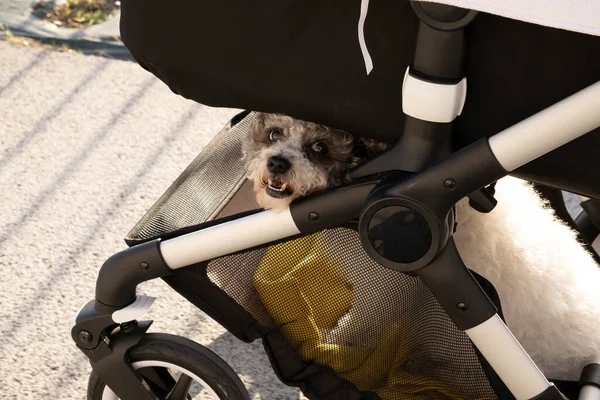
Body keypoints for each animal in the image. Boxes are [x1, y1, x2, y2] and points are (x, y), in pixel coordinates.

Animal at [241, 111, 596, 382]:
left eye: (320, 147)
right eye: (274, 133)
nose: (277, 163)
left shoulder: (385, 291)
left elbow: (354, 327)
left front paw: (328, 346)